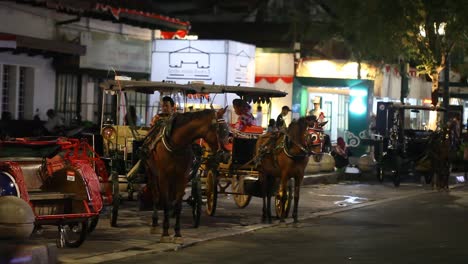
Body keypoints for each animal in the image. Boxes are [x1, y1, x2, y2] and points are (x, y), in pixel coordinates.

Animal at [144, 108, 229, 243]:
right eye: (220, 129)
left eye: (227, 130)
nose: (226, 156)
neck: (176, 143)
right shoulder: (163, 177)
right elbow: (165, 203)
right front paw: (165, 233)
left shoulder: (182, 177)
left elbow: (178, 205)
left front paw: (177, 233)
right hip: (151, 173)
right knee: (156, 197)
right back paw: (155, 223)